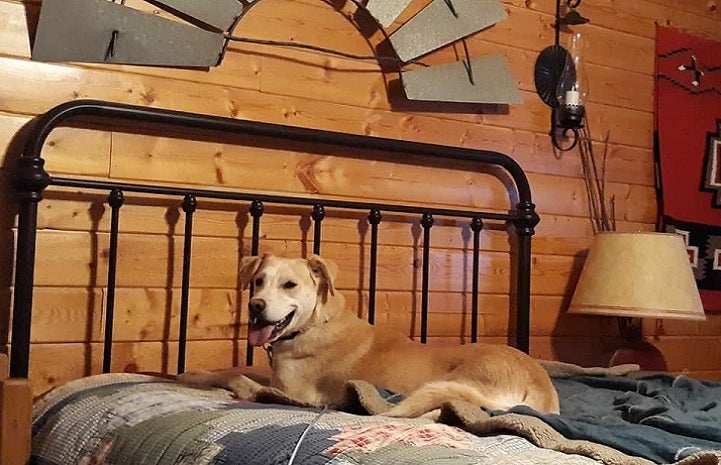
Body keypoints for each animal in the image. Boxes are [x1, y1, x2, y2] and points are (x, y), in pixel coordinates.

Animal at [177, 254, 560, 416]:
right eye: (258, 281)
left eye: (289, 285)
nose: (255, 306)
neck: (314, 324)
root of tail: (540, 383)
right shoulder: (274, 374)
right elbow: (234, 367)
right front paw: (190, 372)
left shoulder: (292, 392)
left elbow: (238, 378)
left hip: (458, 380)